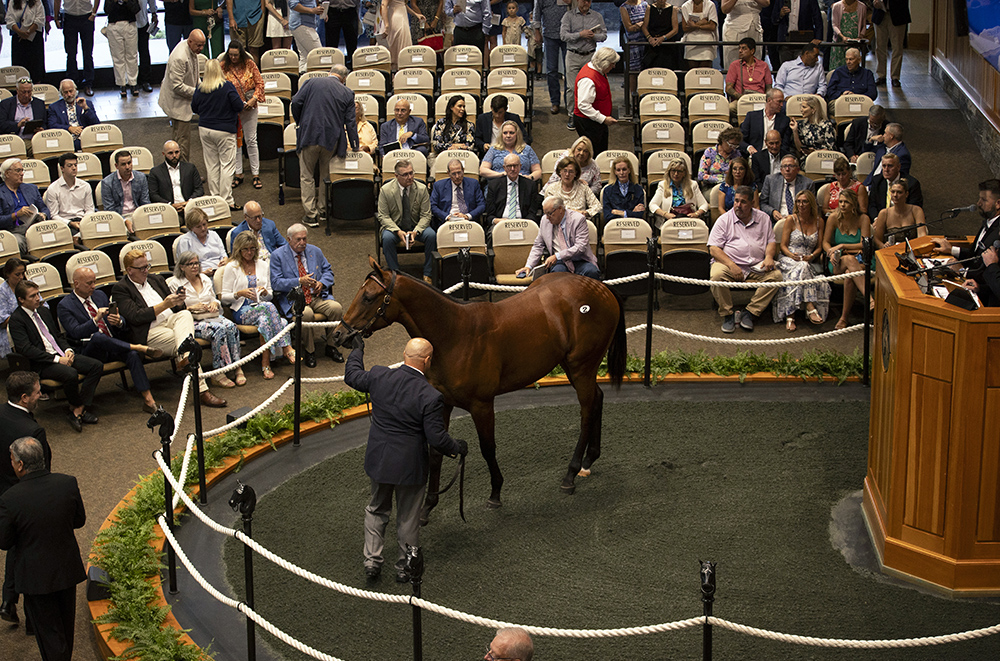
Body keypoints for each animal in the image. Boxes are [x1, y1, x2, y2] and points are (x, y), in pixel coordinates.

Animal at [334, 258, 624, 520]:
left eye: (369, 297)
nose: (339, 334)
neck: (454, 334)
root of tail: (600, 288)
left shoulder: (482, 405)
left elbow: (487, 447)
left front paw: (495, 493)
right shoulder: (441, 404)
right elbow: (435, 451)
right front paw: (427, 507)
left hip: (581, 367)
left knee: (587, 410)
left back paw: (571, 474)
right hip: (575, 368)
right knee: (597, 398)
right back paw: (588, 461)